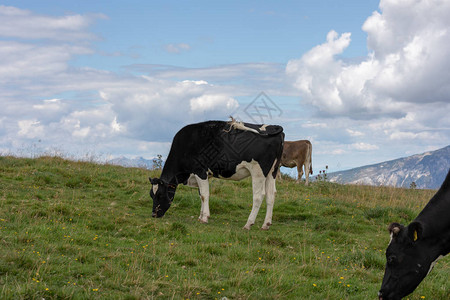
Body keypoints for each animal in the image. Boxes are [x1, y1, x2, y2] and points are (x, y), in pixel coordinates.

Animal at [151, 119, 284, 230]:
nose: (154, 214)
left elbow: (204, 195)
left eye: (160, 195)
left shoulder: (200, 171)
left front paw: (204, 217)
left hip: (258, 171)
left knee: (258, 196)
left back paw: (248, 223)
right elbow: (201, 195)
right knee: (271, 195)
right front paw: (201, 216)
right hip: (272, 172)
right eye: (151, 195)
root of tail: (273, 127)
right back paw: (266, 224)